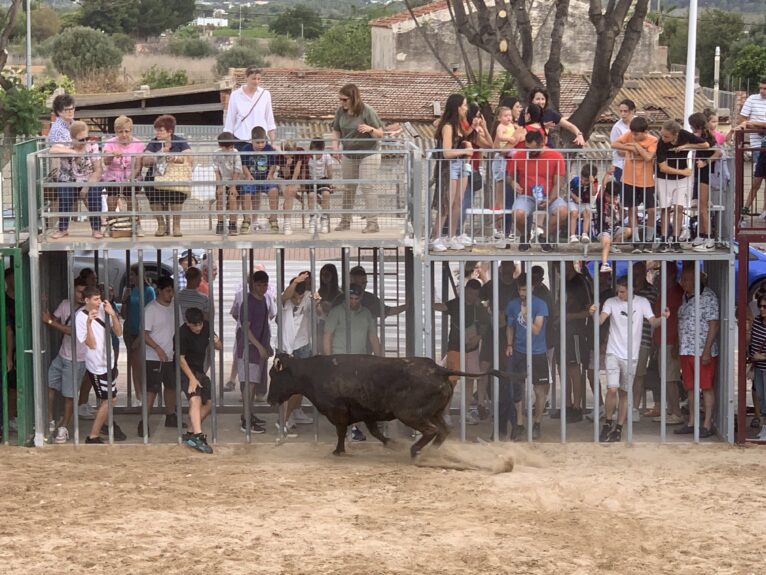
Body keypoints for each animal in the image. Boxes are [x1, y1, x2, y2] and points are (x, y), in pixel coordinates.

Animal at [268, 354, 512, 456]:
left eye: (274, 375)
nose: (269, 400)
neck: (313, 373)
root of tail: (439, 370)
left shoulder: (338, 412)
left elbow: (341, 431)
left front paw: (338, 451)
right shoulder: (367, 413)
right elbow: (375, 432)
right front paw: (391, 443)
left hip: (409, 413)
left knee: (431, 430)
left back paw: (415, 450)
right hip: (434, 412)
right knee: (443, 430)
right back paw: (430, 451)